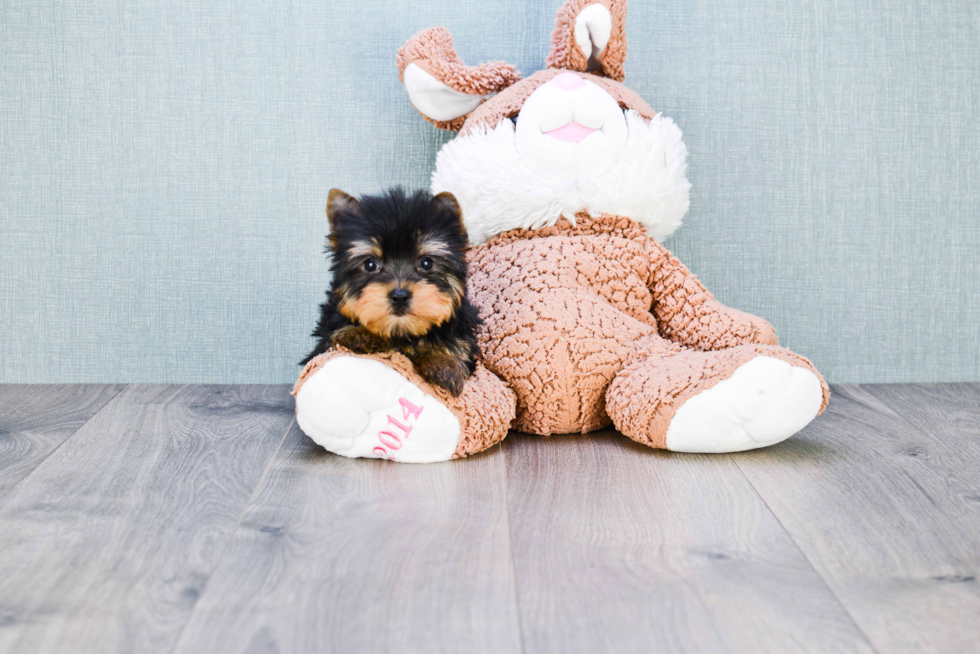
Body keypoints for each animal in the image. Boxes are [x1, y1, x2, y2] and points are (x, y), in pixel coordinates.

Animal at [302, 187, 478, 398]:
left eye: (426, 263)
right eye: (370, 264)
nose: (400, 296)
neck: (402, 332)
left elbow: (456, 344)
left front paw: (445, 364)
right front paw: (358, 334)